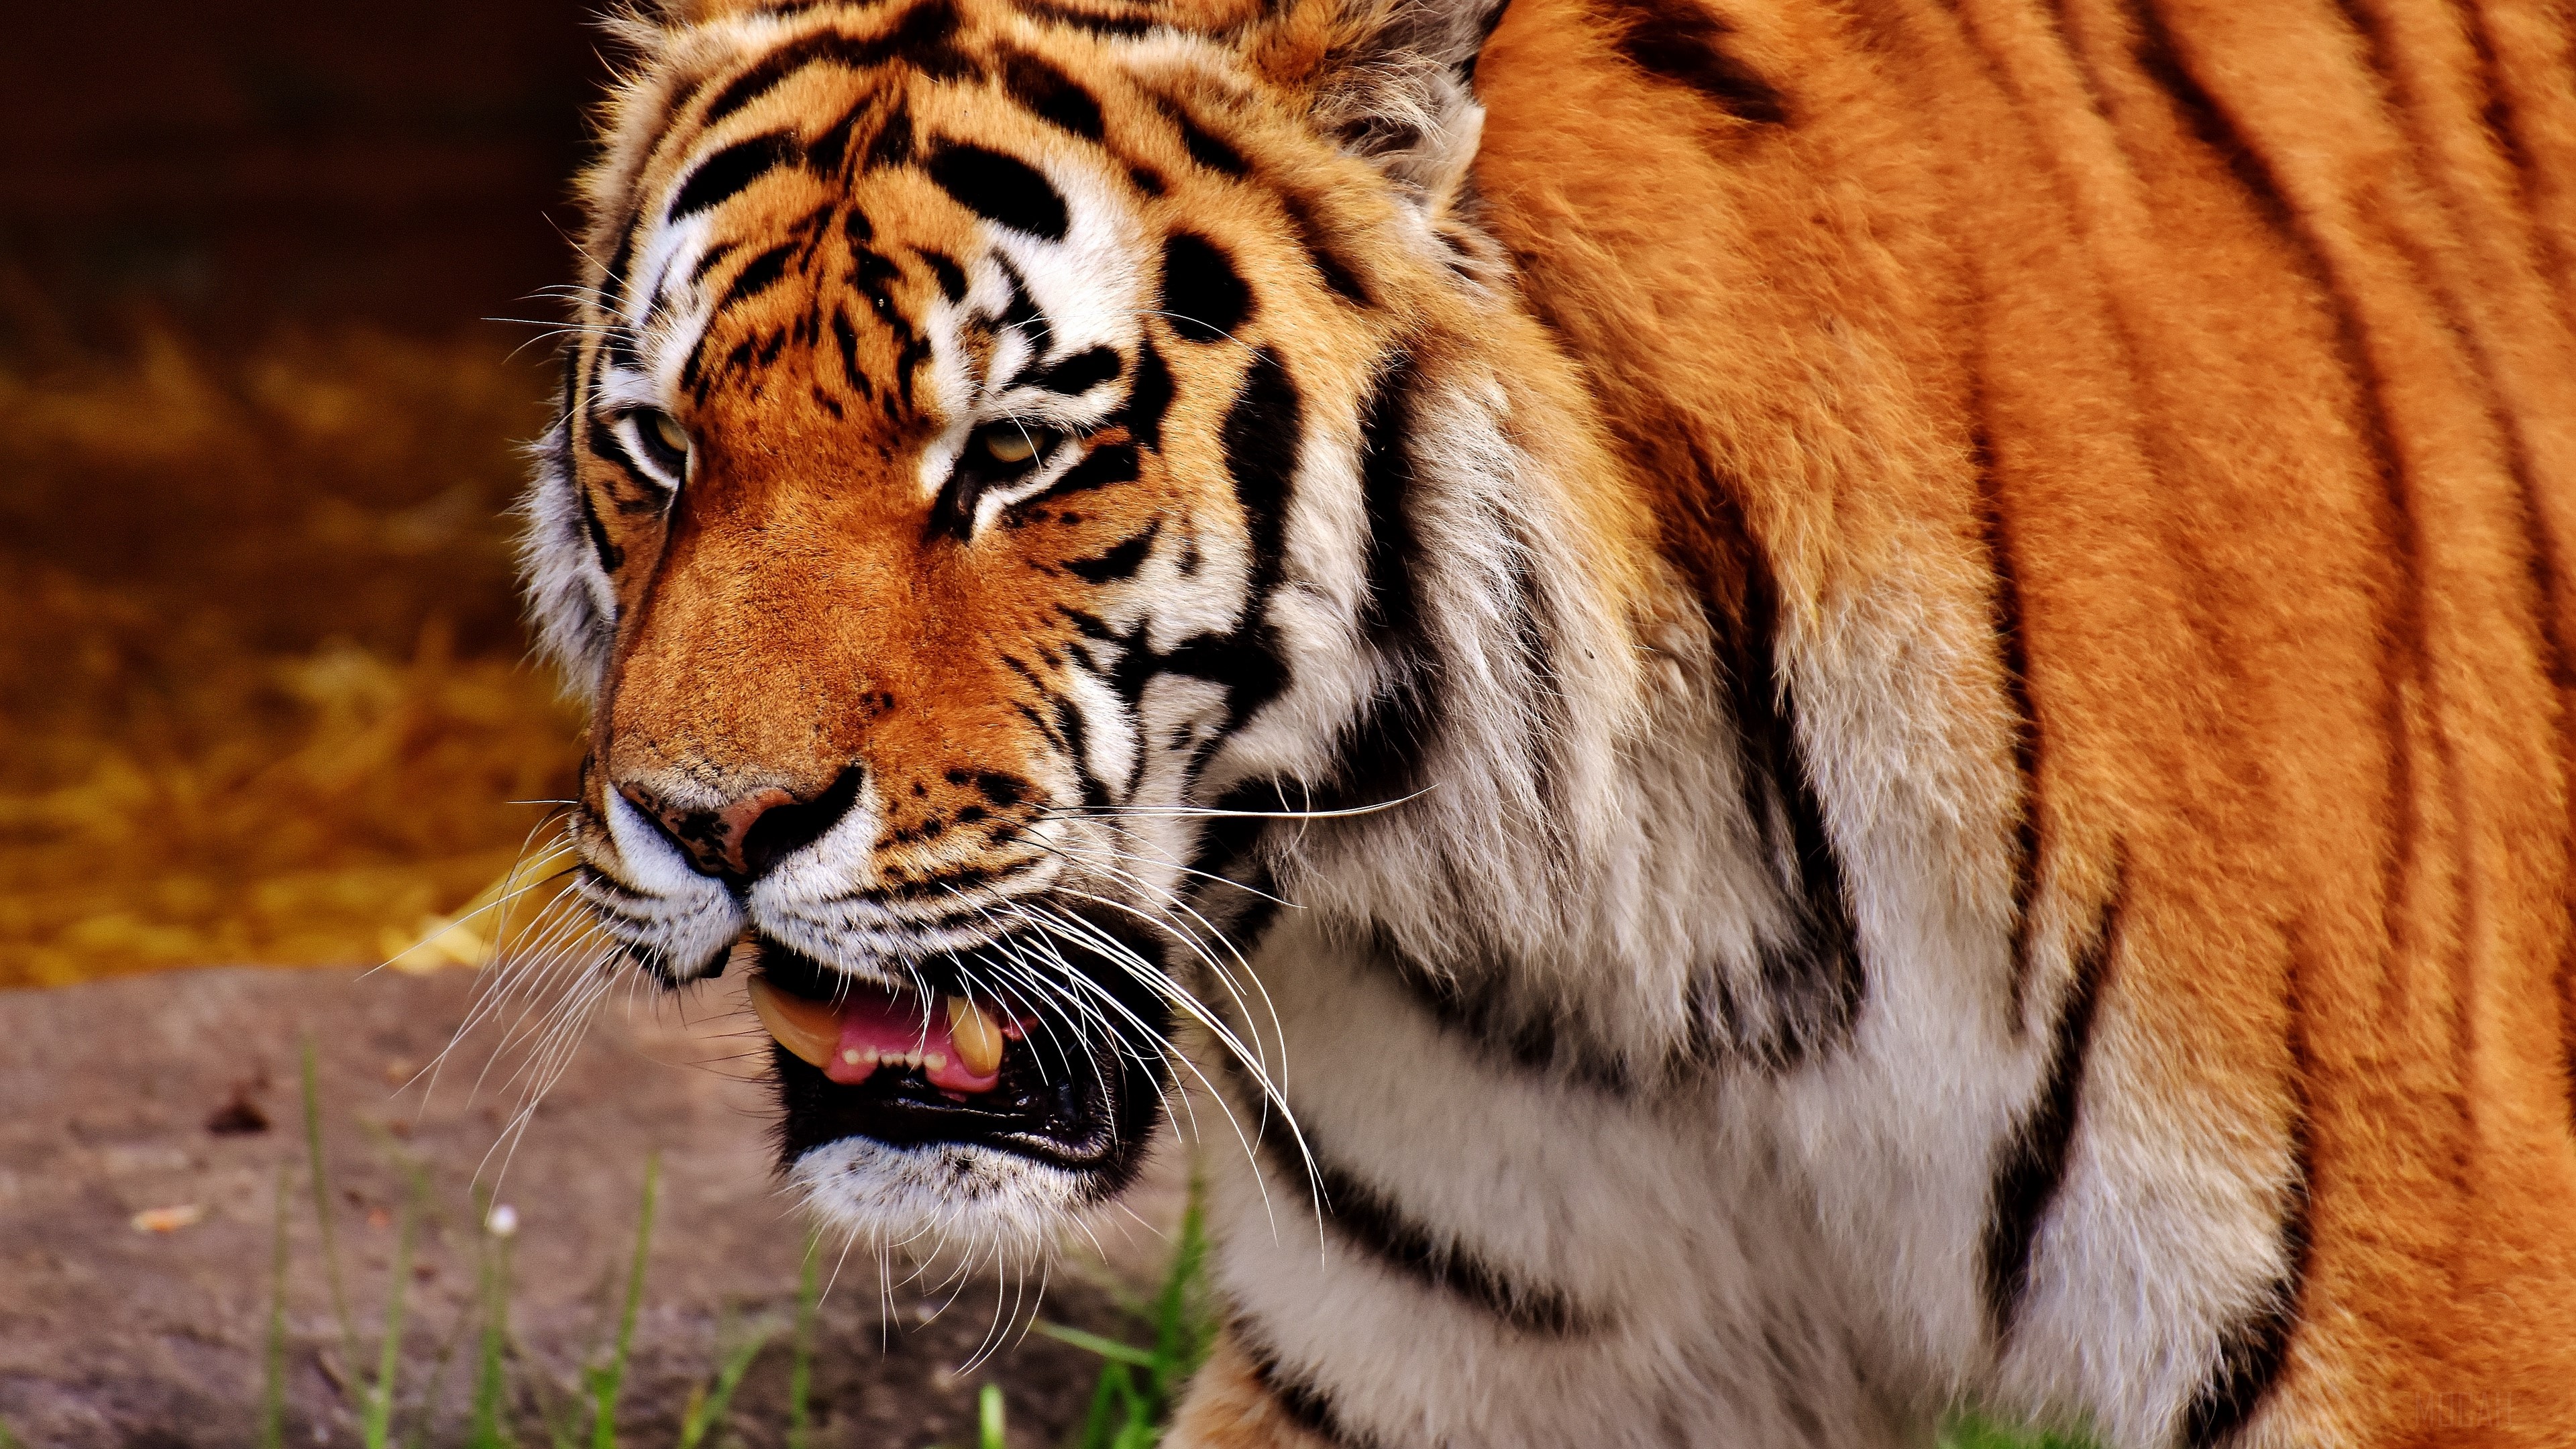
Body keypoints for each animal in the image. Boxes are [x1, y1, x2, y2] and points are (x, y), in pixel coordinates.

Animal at [518, 0, 2576, 1440]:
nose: (711, 826)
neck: (1640, 908)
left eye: (1016, 454)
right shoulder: (1475, 1352)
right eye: (660, 448)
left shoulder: (2442, 1321)